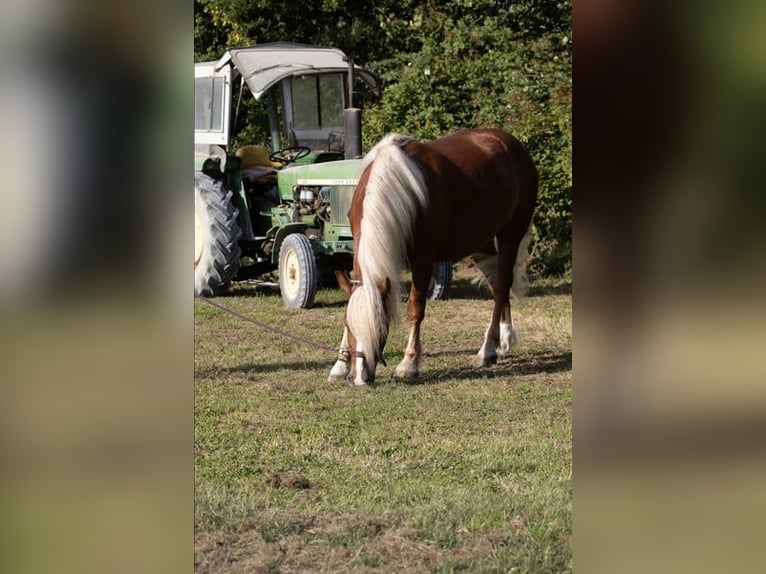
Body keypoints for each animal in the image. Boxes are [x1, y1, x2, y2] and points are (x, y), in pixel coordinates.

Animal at [328, 128, 538, 386]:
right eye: (348, 326)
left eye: (381, 328)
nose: (358, 379)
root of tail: (509, 142)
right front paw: (339, 364)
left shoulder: (423, 261)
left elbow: (415, 309)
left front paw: (408, 364)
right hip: (483, 244)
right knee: (498, 285)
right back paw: (504, 339)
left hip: (510, 236)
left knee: (502, 288)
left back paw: (487, 349)